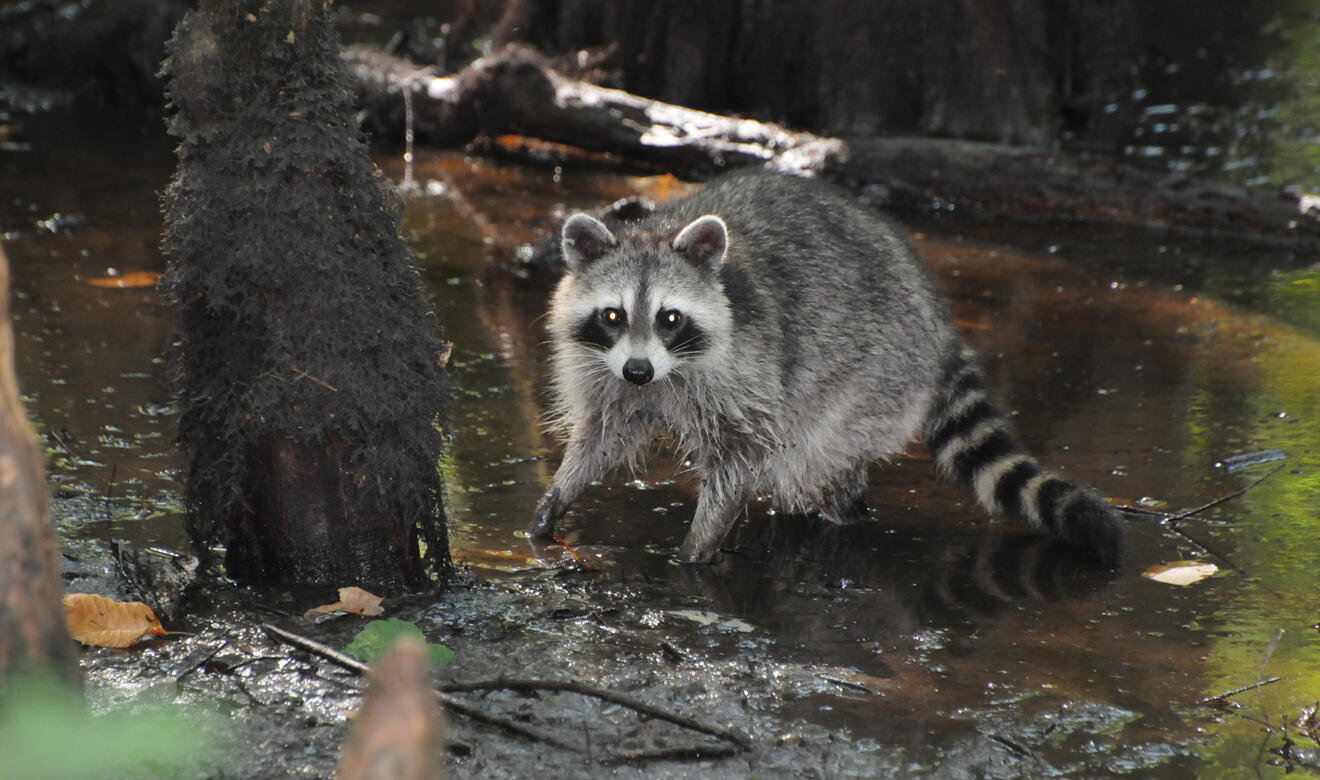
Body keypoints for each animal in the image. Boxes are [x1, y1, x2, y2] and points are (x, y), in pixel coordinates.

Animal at [528, 171, 1122, 567]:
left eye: (669, 318)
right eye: (613, 315)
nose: (638, 372)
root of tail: (939, 321)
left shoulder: (746, 370)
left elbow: (741, 455)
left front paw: (699, 543)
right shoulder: (602, 368)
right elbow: (606, 431)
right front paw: (560, 493)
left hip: (877, 377)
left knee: (812, 460)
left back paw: (839, 513)